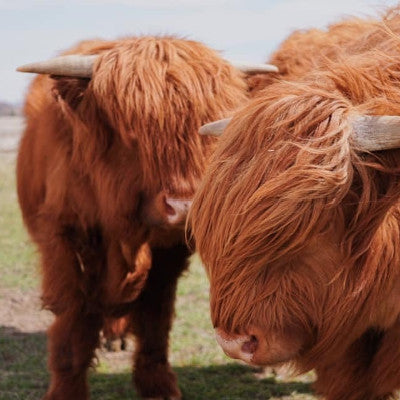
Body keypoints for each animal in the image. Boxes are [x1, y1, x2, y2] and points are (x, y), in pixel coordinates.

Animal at [16, 36, 278, 398]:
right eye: (130, 132)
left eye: (206, 130)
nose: (184, 207)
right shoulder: (66, 244)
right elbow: (72, 328)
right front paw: (67, 391)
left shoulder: (168, 255)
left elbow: (156, 320)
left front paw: (159, 385)